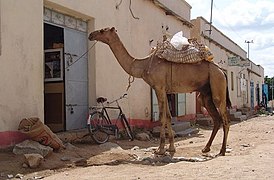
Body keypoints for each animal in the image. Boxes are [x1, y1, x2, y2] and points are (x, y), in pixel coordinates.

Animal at [88, 27, 231, 155]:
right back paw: (206, 148)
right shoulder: (164, 90)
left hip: (217, 85)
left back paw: (222, 150)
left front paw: (160, 150)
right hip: (206, 94)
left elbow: (162, 116)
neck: (144, 65)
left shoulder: (159, 87)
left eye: (102, 30)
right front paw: (171, 148)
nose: (91, 34)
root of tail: (222, 71)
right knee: (216, 118)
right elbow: (168, 116)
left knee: (224, 117)